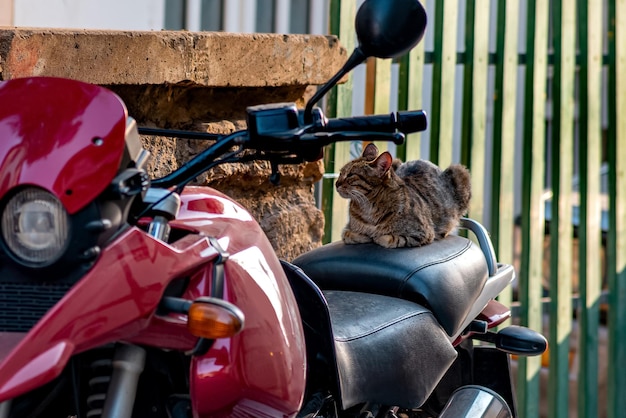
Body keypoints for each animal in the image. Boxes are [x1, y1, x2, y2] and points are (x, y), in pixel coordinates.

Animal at [336, 144, 468, 248]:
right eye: (341, 172)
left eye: (351, 175)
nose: (336, 183)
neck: (368, 208)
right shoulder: (347, 229)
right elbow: (348, 234)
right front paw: (364, 235)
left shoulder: (424, 233)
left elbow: (392, 238)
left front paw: (377, 236)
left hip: (460, 172)